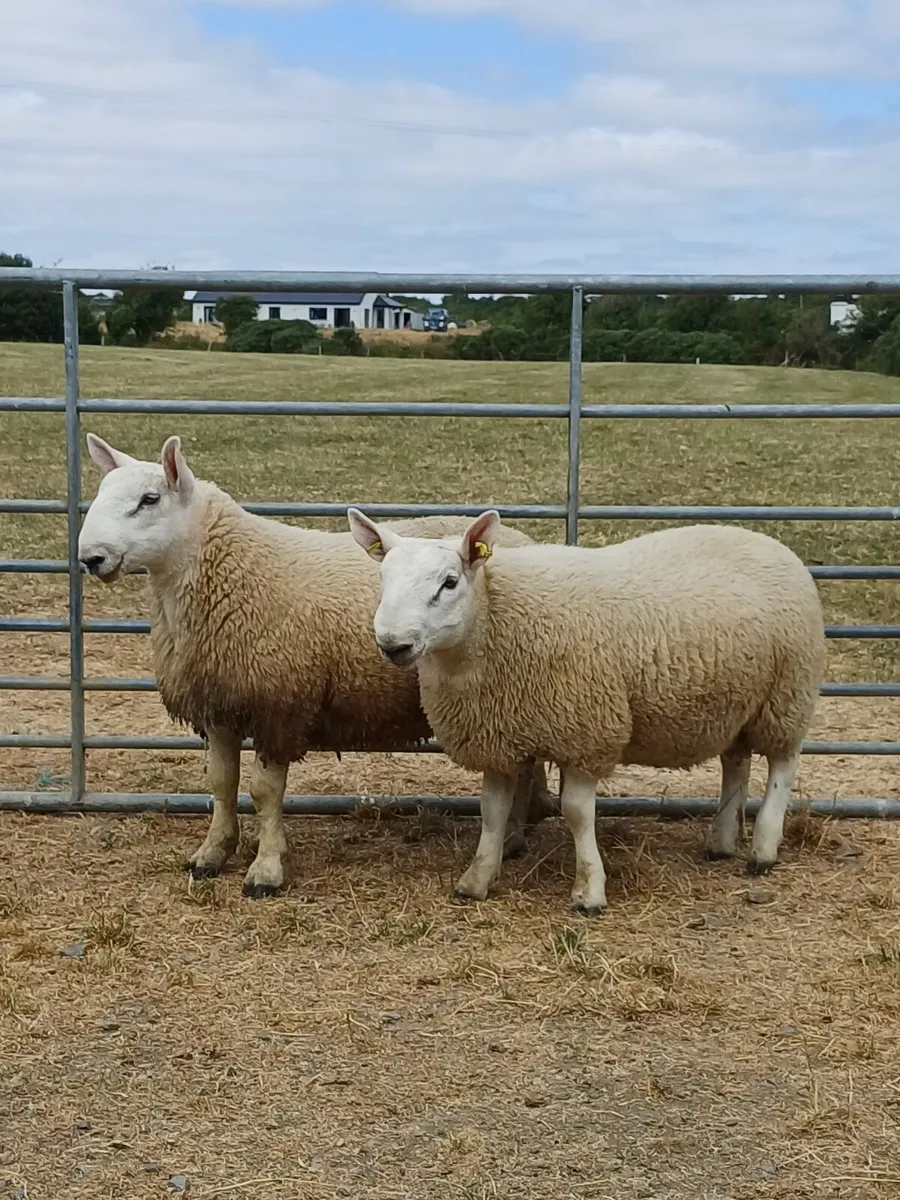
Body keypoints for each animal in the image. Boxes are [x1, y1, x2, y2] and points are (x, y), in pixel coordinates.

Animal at [77, 434, 556, 897]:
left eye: (149, 499)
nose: (90, 558)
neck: (230, 572)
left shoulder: (279, 704)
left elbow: (264, 792)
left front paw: (266, 870)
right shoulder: (220, 704)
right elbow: (220, 783)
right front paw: (212, 853)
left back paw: (514, 833)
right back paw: (521, 828)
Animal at [347, 507, 826, 915]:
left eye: (449, 582)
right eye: (383, 577)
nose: (392, 644)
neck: (494, 619)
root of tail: (766, 540)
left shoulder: (585, 731)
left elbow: (577, 812)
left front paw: (589, 892)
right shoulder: (498, 736)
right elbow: (492, 811)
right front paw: (476, 879)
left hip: (787, 693)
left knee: (782, 765)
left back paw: (763, 850)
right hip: (735, 703)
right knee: (736, 762)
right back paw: (722, 841)